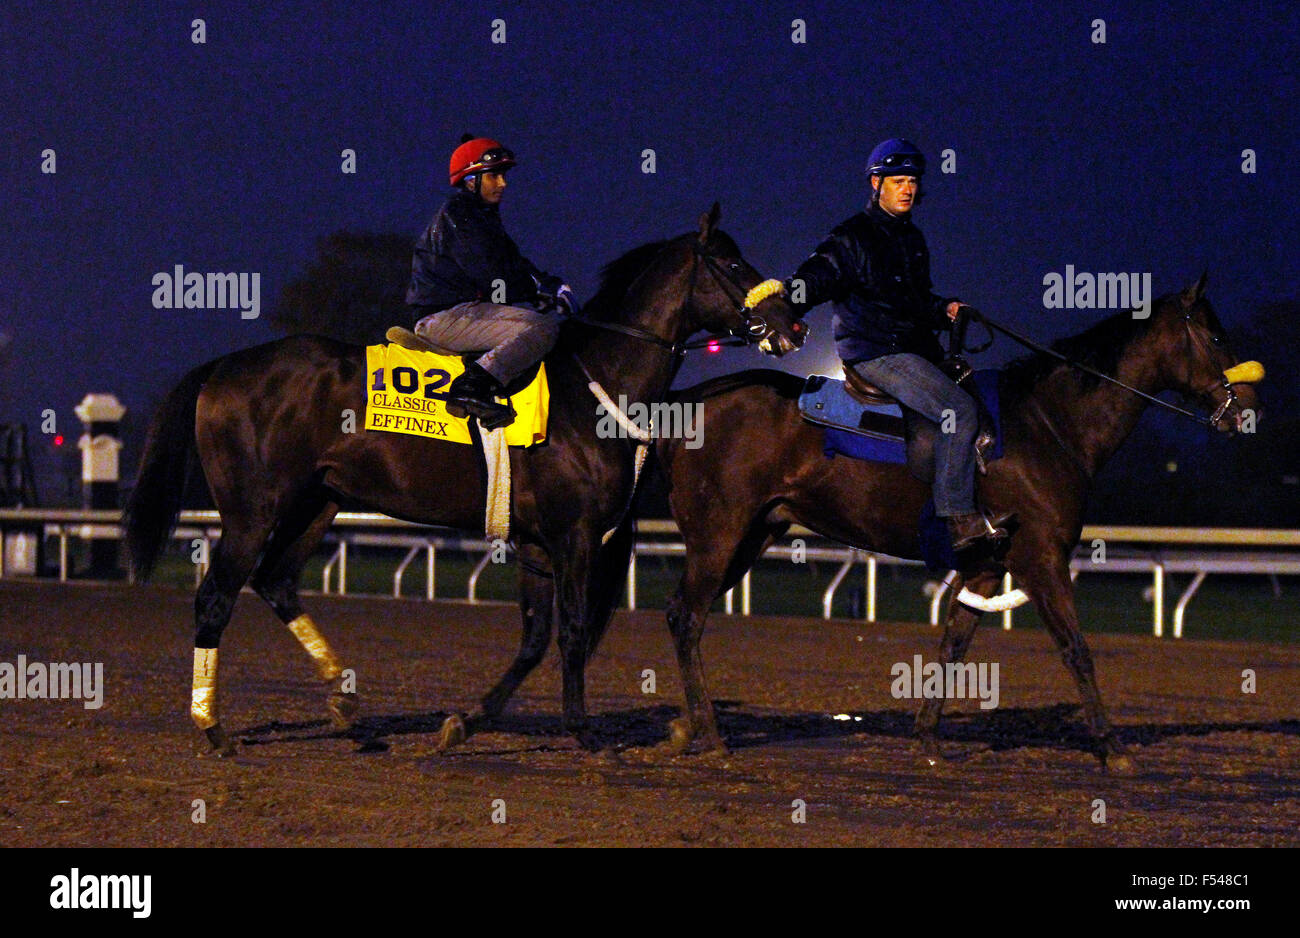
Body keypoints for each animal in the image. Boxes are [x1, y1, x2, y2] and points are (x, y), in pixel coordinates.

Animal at [126, 205, 806, 753]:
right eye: (734, 262)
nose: (794, 324)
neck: (595, 383)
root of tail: (223, 367)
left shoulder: (538, 541)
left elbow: (535, 639)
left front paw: (465, 723)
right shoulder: (576, 534)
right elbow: (573, 630)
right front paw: (584, 732)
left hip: (317, 502)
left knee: (276, 581)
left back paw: (345, 703)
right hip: (253, 510)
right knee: (216, 597)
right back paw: (212, 727)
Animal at [655, 274, 1263, 769]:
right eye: (1215, 338)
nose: (1248, 408)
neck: (1048, 424)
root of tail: (693, 398)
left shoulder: (986, 566)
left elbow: (952, 647)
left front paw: (927, 739)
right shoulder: (1042, 559)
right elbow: (1076, 649)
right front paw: (1112, 748)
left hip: (753, 535)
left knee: (686, 616)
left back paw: (688, 724)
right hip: (719, 535)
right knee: (687, 616)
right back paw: (711, 734)